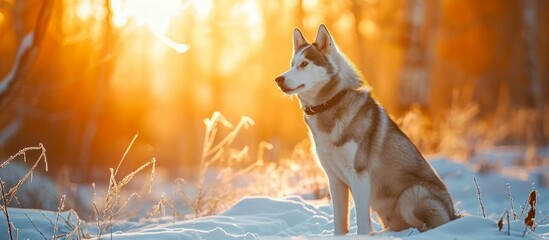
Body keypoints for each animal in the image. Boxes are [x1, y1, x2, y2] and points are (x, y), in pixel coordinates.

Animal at [274, 25, 458, 235]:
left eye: (304, 64)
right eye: (292, 64)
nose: (278, 79)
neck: (331, 104)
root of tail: (454, 214)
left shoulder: (359, 175)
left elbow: (362, 222)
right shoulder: (334, 179)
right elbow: (339, 222)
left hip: (411, 196)